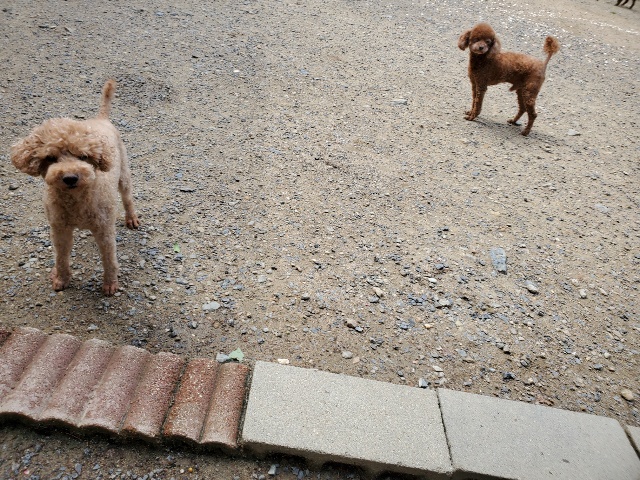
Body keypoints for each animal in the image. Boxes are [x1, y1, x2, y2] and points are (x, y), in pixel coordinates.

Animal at [10, 80, 139, 295]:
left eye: (83, 156)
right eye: (50, 158)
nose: (70, 178)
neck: (77, 200)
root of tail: (101, 118)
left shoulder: (104, 229)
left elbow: (109, 259)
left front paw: (110, 284)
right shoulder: (59, 229)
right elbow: (61, 257)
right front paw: (61, 279)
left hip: (123, 174)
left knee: (127, 197)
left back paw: (132, 219)